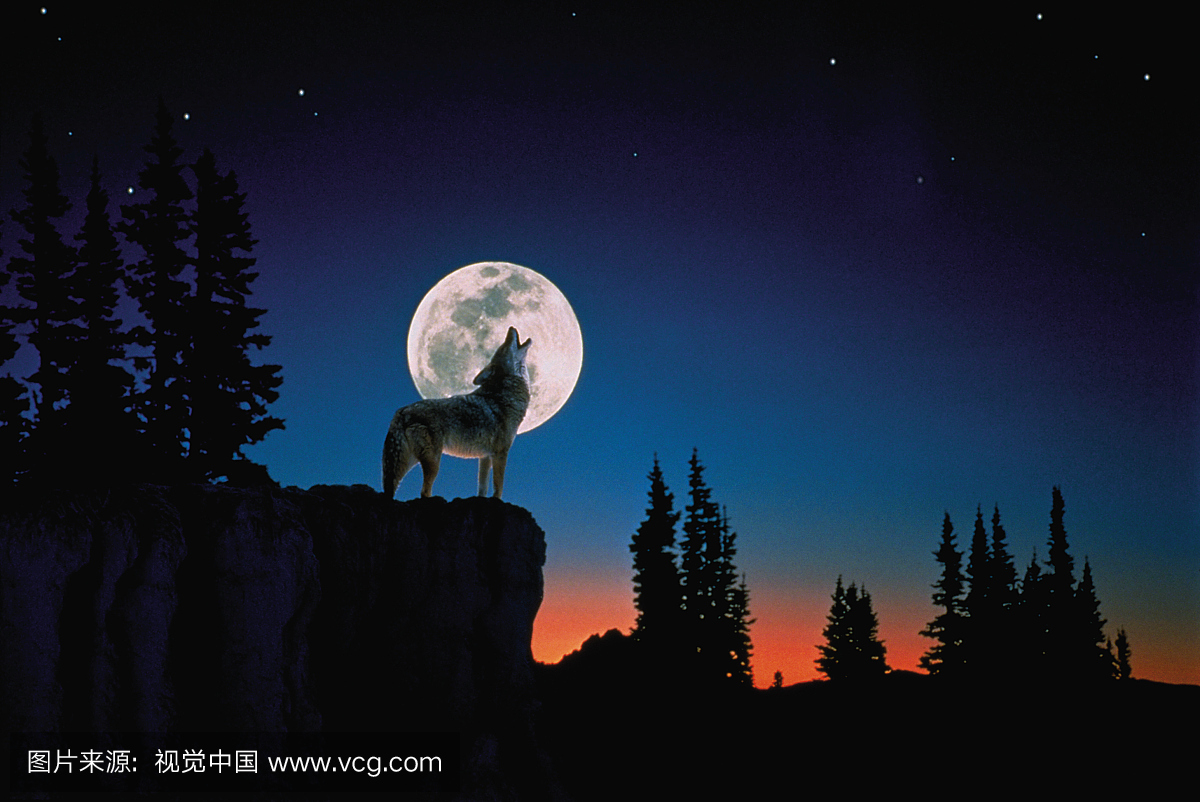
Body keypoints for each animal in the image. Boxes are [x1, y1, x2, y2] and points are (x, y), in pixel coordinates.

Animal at [383, 326, 532, 499]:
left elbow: (483, 487)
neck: (506, 394)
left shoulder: (485, 457)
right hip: (433, 461)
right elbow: (498, 486)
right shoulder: (500, 453)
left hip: (408, 462)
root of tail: (401, 411)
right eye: (503, 347)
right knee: (424, 491)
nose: (511, 328)